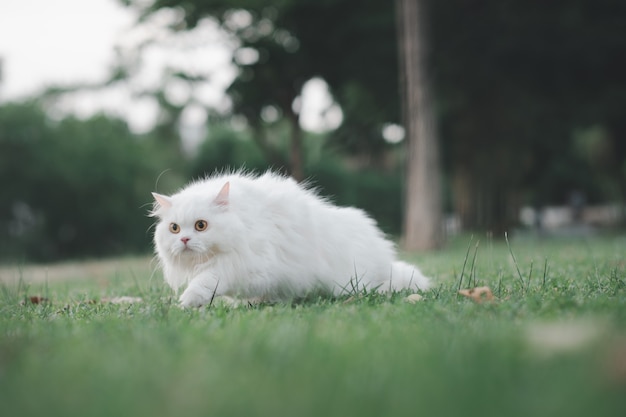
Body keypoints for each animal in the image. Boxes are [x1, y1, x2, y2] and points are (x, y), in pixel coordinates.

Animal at [151, 171, 428, 308]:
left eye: (201, 225)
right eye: (174, 228)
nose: (184, 240)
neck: (244, 221)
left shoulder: (247, 266)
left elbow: (209, 279)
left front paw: (188, 301)